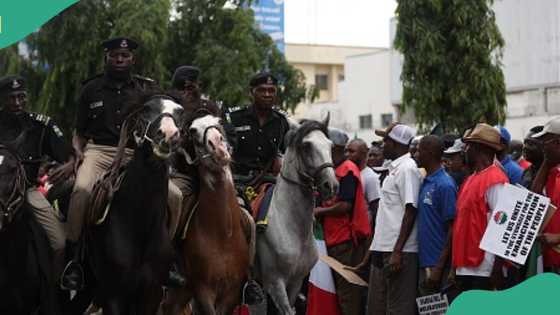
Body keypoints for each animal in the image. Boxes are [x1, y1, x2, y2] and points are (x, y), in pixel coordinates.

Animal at [161, 115, 250, 315]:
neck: (222, 235)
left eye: (218, 123)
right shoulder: (203, 290)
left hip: (183, 289)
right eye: (193, 132)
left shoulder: (231, 292)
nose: (218, 148)